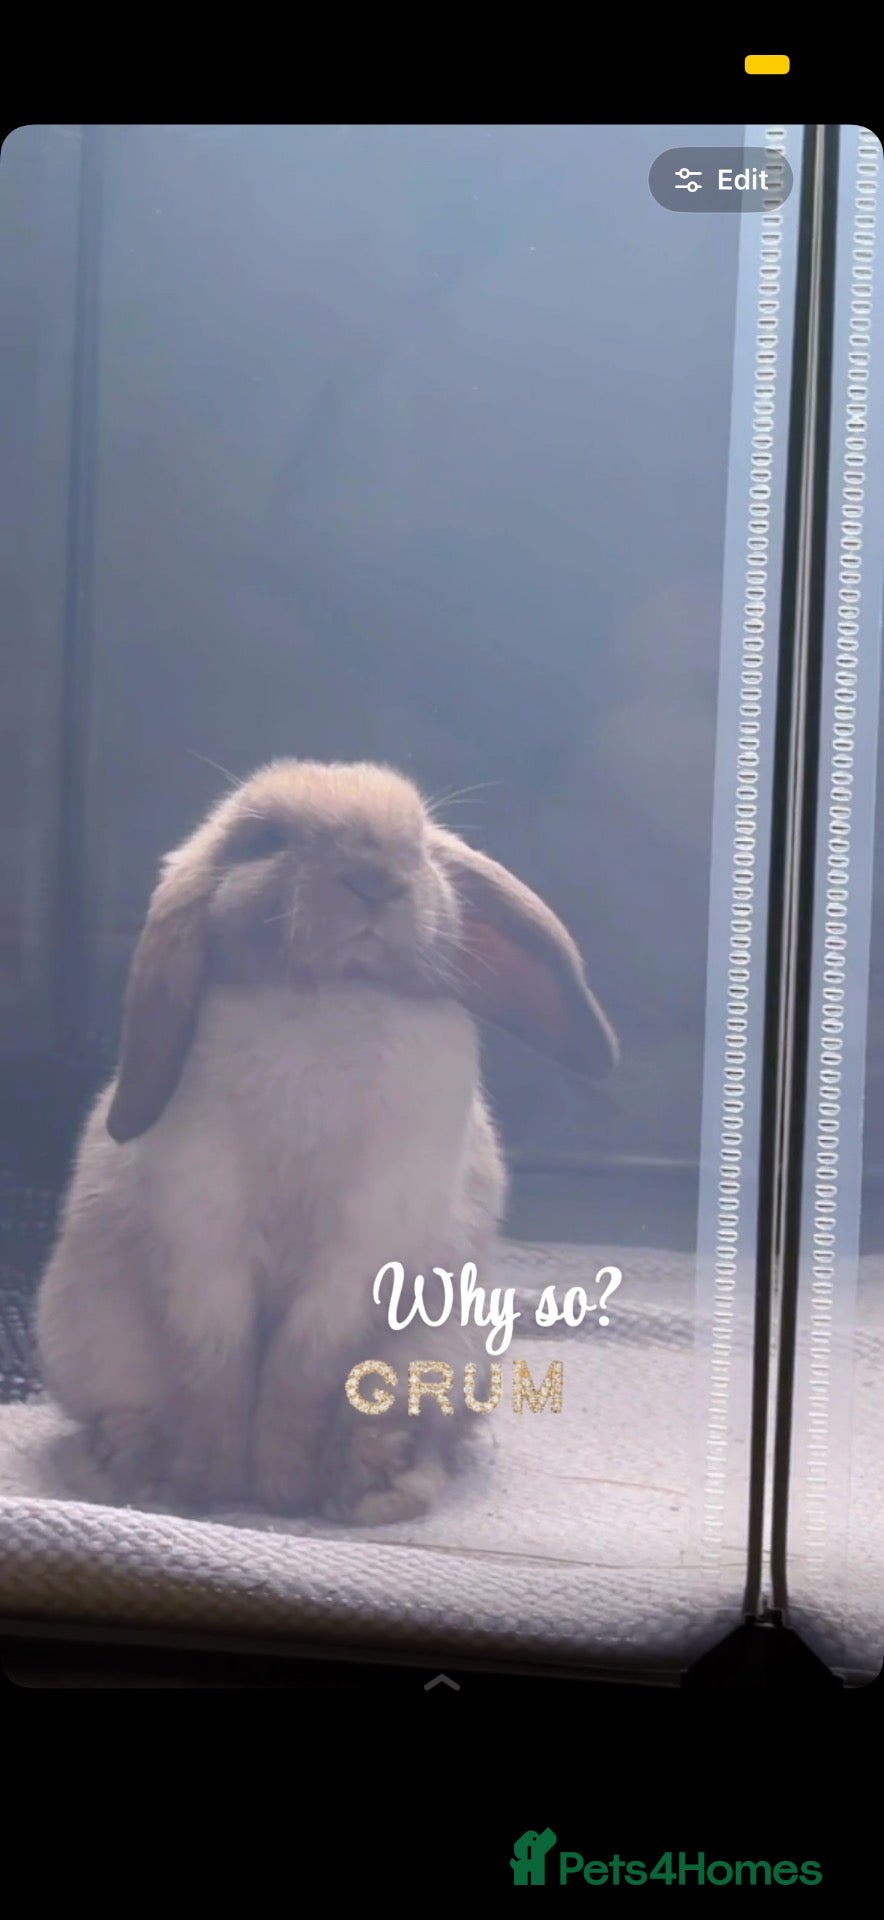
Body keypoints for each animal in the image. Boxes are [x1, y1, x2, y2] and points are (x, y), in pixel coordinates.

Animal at [35, 759, 618, 1524]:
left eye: (421, 846)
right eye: (267, 840)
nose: (376, 877)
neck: (329, 999)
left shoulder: (363, 1246)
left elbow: (303, 1370)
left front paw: (281, 1487)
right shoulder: (203, 1232)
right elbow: (215, 1368)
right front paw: (208, 1484)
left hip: (443, 1348)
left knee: (412, 1424)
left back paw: (377, 1484)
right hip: (90, 1333)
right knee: (121, 1407)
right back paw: (131, 1471)